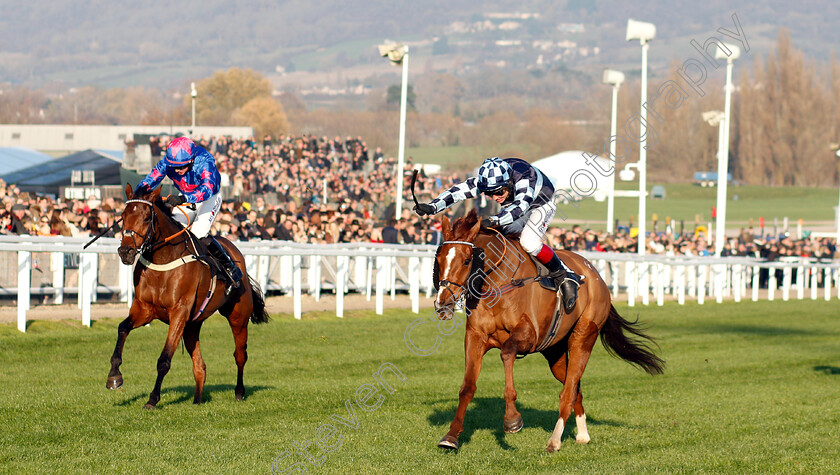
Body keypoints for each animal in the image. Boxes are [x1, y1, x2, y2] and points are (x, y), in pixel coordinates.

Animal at [106, 183, 268, 410]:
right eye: (123, 215)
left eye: (146, 218)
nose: (125, 251)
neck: (164, 259)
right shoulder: (145, 309)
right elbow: (122, 328)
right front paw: (114, 377)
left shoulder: (179, 312)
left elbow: (164, 360)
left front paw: (152, 399)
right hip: (193, 325)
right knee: (200, 365)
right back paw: (197, 400)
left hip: (238, 316)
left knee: (240, 355)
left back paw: (239, 391)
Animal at [434, 211, 664, 454]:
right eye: (439, 259)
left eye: (467, 260)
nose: (443, 303)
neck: (498, 282)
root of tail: (596, 275)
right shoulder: (475, 336)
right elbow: (467, 387)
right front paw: (451, 436)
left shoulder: (529, 335)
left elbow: (507, 353)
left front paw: (512, 419)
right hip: (555, 352)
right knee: (575, 388)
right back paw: (582, 435)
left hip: (583, 337)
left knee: (569, 390)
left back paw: (555, 440)